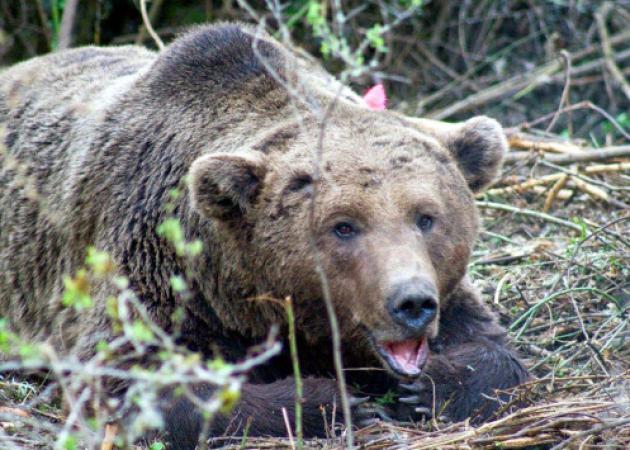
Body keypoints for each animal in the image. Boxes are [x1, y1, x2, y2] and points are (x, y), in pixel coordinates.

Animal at [1, 22, 528, 448]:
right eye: (344, 226)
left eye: (426, 217)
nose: (412, 303)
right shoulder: (153, 262)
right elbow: (128, 380)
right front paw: (330, 401)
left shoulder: (448, 291)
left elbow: (496, 349)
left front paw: (428, 386)